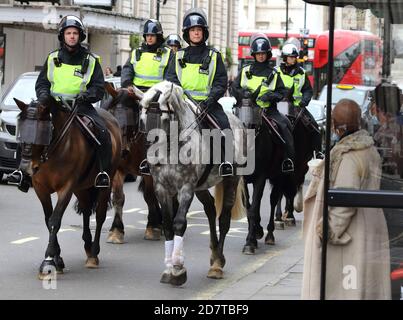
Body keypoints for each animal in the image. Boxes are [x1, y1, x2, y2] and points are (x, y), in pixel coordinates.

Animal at [14, 99, 121, 278]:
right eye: (21, 130)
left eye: (43, 132)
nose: (25, 168)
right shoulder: (41, 189)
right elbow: (47, 219)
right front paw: (57, 259)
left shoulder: (66, 188)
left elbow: (54, 221)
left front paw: (48, 260)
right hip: (81, 187)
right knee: (86, 210)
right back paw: (87, 244)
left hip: (106, 184)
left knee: (100, 216)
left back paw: (93, 254)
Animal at [102, 84, 163, 244]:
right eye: (112, 116)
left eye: (132, 117)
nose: (122, 151)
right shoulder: (118, 170)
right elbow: (118, 197)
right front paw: (116, 230)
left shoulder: (149, 172)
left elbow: (149, 196)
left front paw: (152, 227)